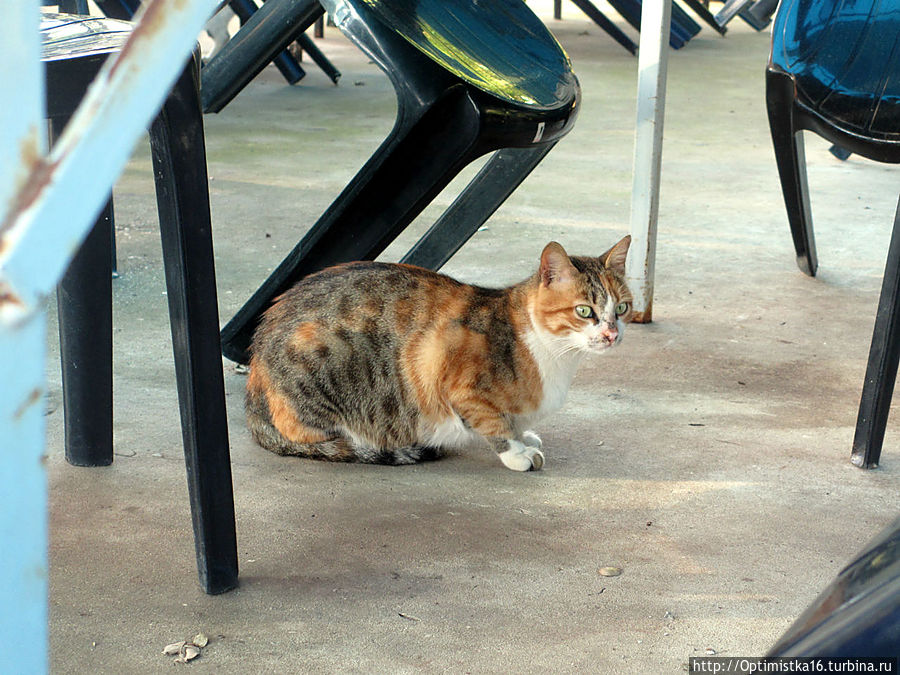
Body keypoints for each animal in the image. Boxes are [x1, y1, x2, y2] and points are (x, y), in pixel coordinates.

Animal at [243, 236, 628, 470]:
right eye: (584, 311)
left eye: (622, 308)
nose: (611, 334)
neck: (556, 358)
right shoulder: (448, 370)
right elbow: (493, 424)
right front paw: (516, 452)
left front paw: (523, 435)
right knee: (303, 432)